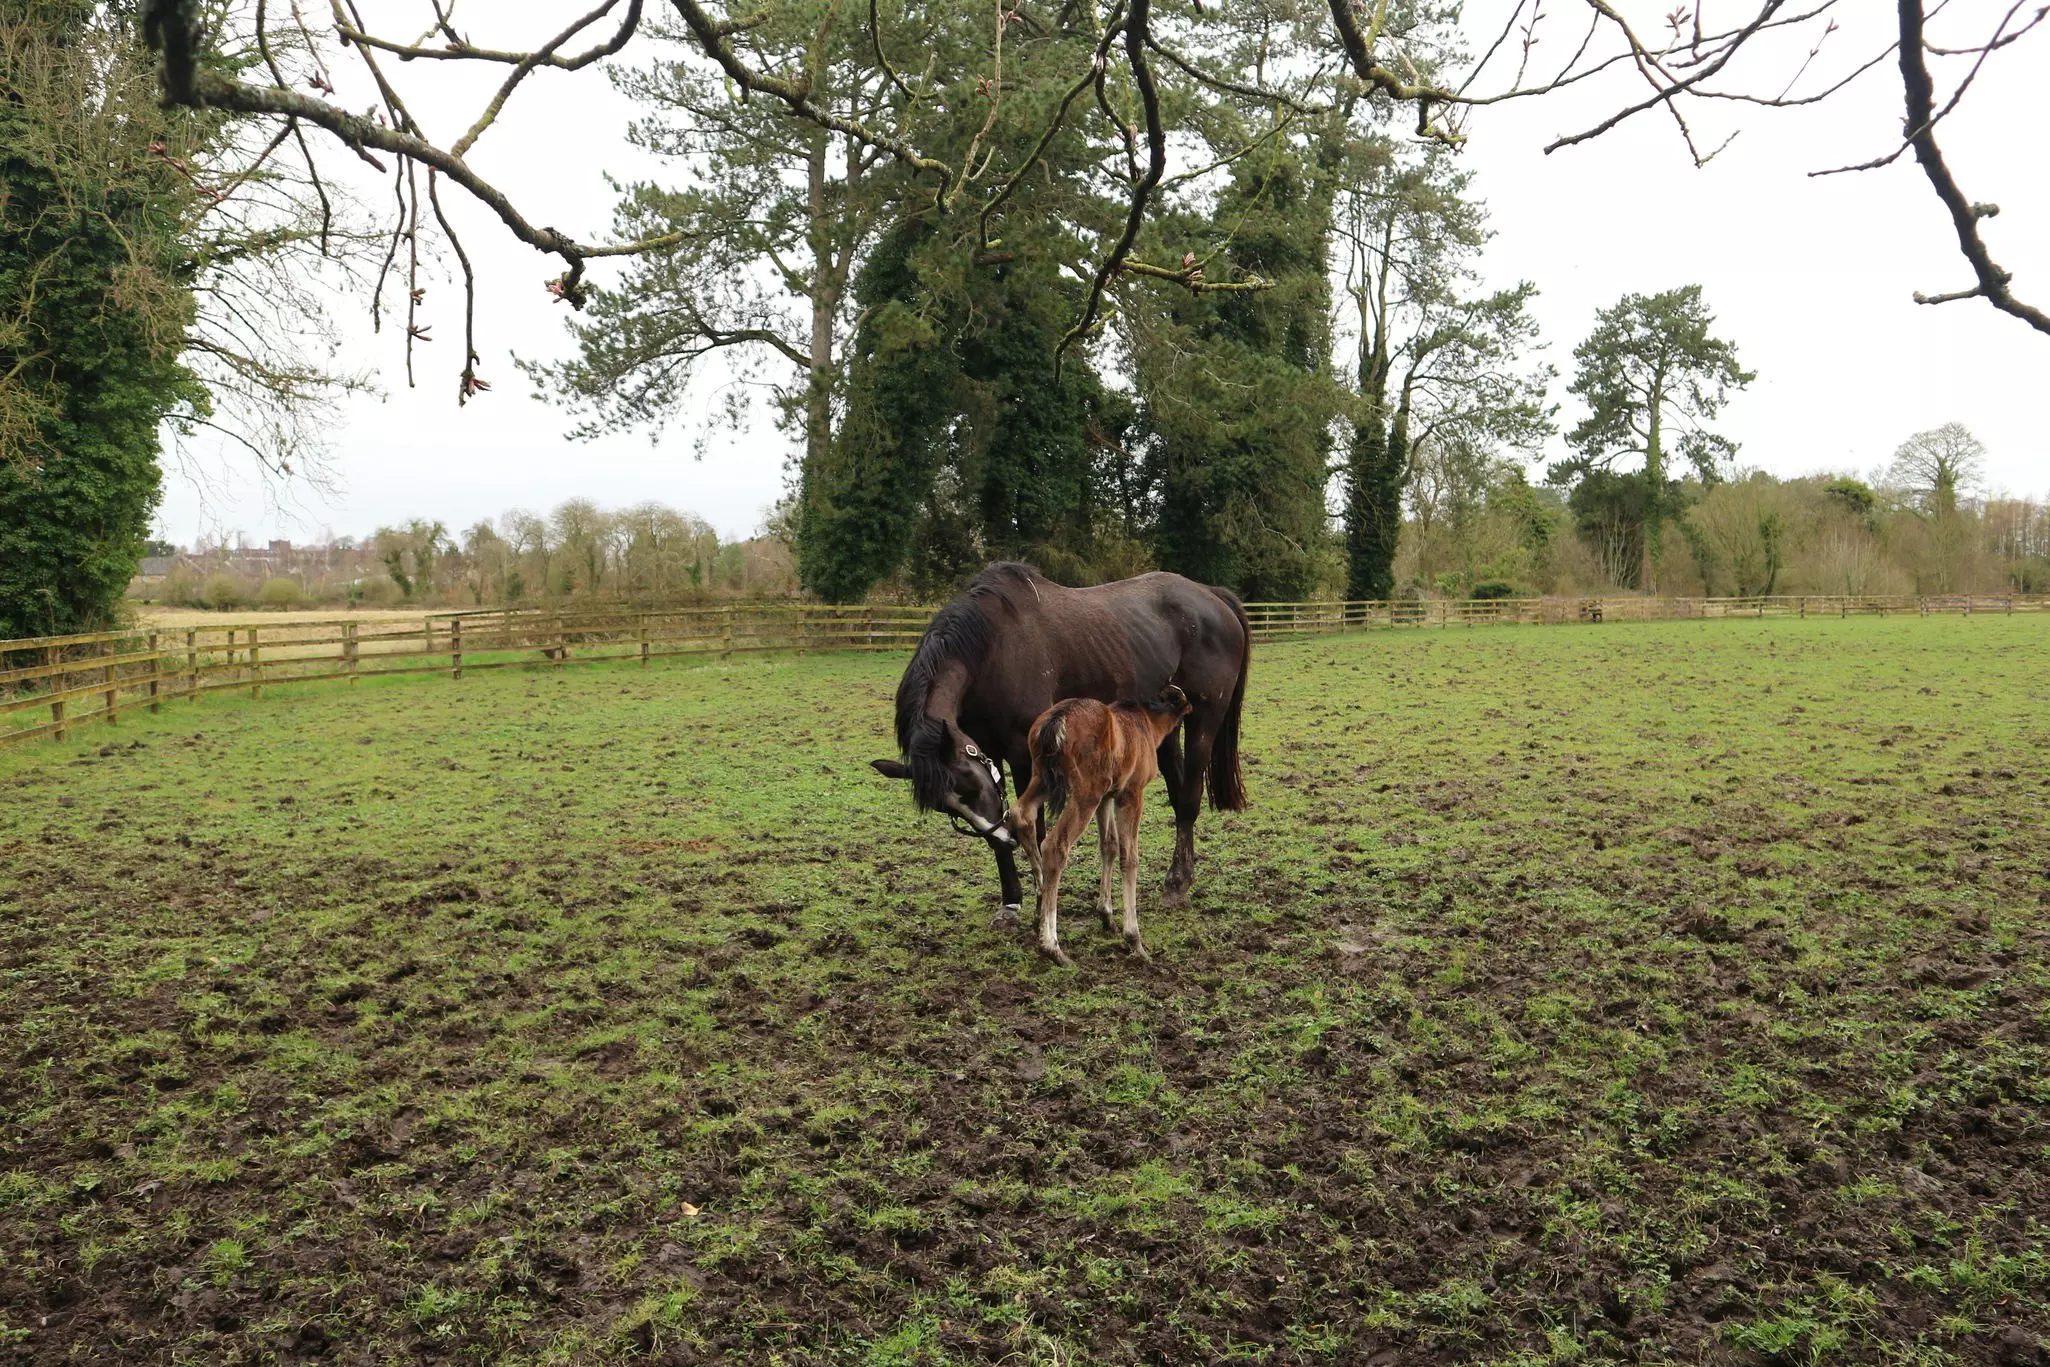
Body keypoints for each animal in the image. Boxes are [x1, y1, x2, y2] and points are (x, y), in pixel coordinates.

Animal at [869, 563, 1250, 921]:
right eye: (948, 809)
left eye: (973, 789)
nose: (1004, 836)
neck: (993, 649)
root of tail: (1211, 595)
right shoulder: (989, 752)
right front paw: (1012, 902)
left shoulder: (1025, 756)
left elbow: (1035, 829)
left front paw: (1043, 901)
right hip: (1164, 726)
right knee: (1177, 791)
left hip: (1203, 720)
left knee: (1188, 800)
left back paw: (1177, 882)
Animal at [1005, 686, 1193, 966]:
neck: (1146, 723)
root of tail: (1056, 721)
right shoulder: (1131, 794)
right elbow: (1129, 857)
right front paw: (1134, 940)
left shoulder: (1108, 796)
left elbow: (1109, 845)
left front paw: (1106, 916)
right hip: (1086, 793)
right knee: (1055, 845)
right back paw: (1052, 947)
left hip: (1043, 778)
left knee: (1021, 814)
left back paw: (1039, 907)